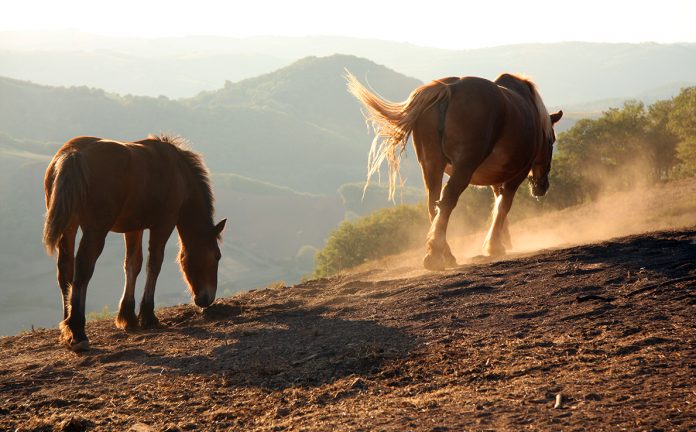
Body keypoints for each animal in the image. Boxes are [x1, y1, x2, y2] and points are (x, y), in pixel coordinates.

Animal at [42, 135, 226, 352]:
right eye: (217, 256)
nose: (207, 298)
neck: (177, 171)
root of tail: (73, 154)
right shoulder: (164, 223)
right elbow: (154, 264)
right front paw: (148, 316)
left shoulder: (133, 228)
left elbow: (132, 265)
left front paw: (128, 316)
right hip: (95, 230)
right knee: (83, 269)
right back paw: (78, 332)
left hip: (69, 227)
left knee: (65, 271)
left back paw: (67, 331)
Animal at [346, 74, 564, 270]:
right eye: (552, 140)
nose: (542, 187)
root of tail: (447, 89)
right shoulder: (517, 174)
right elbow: (504, 205)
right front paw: (494, 245)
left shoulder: (496, 177)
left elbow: (497, 204)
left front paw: (502, 240)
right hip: (463, 168)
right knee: (447, 200)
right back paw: (435, 256)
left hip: (432, 165)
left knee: (434, 204)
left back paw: (444, 253)